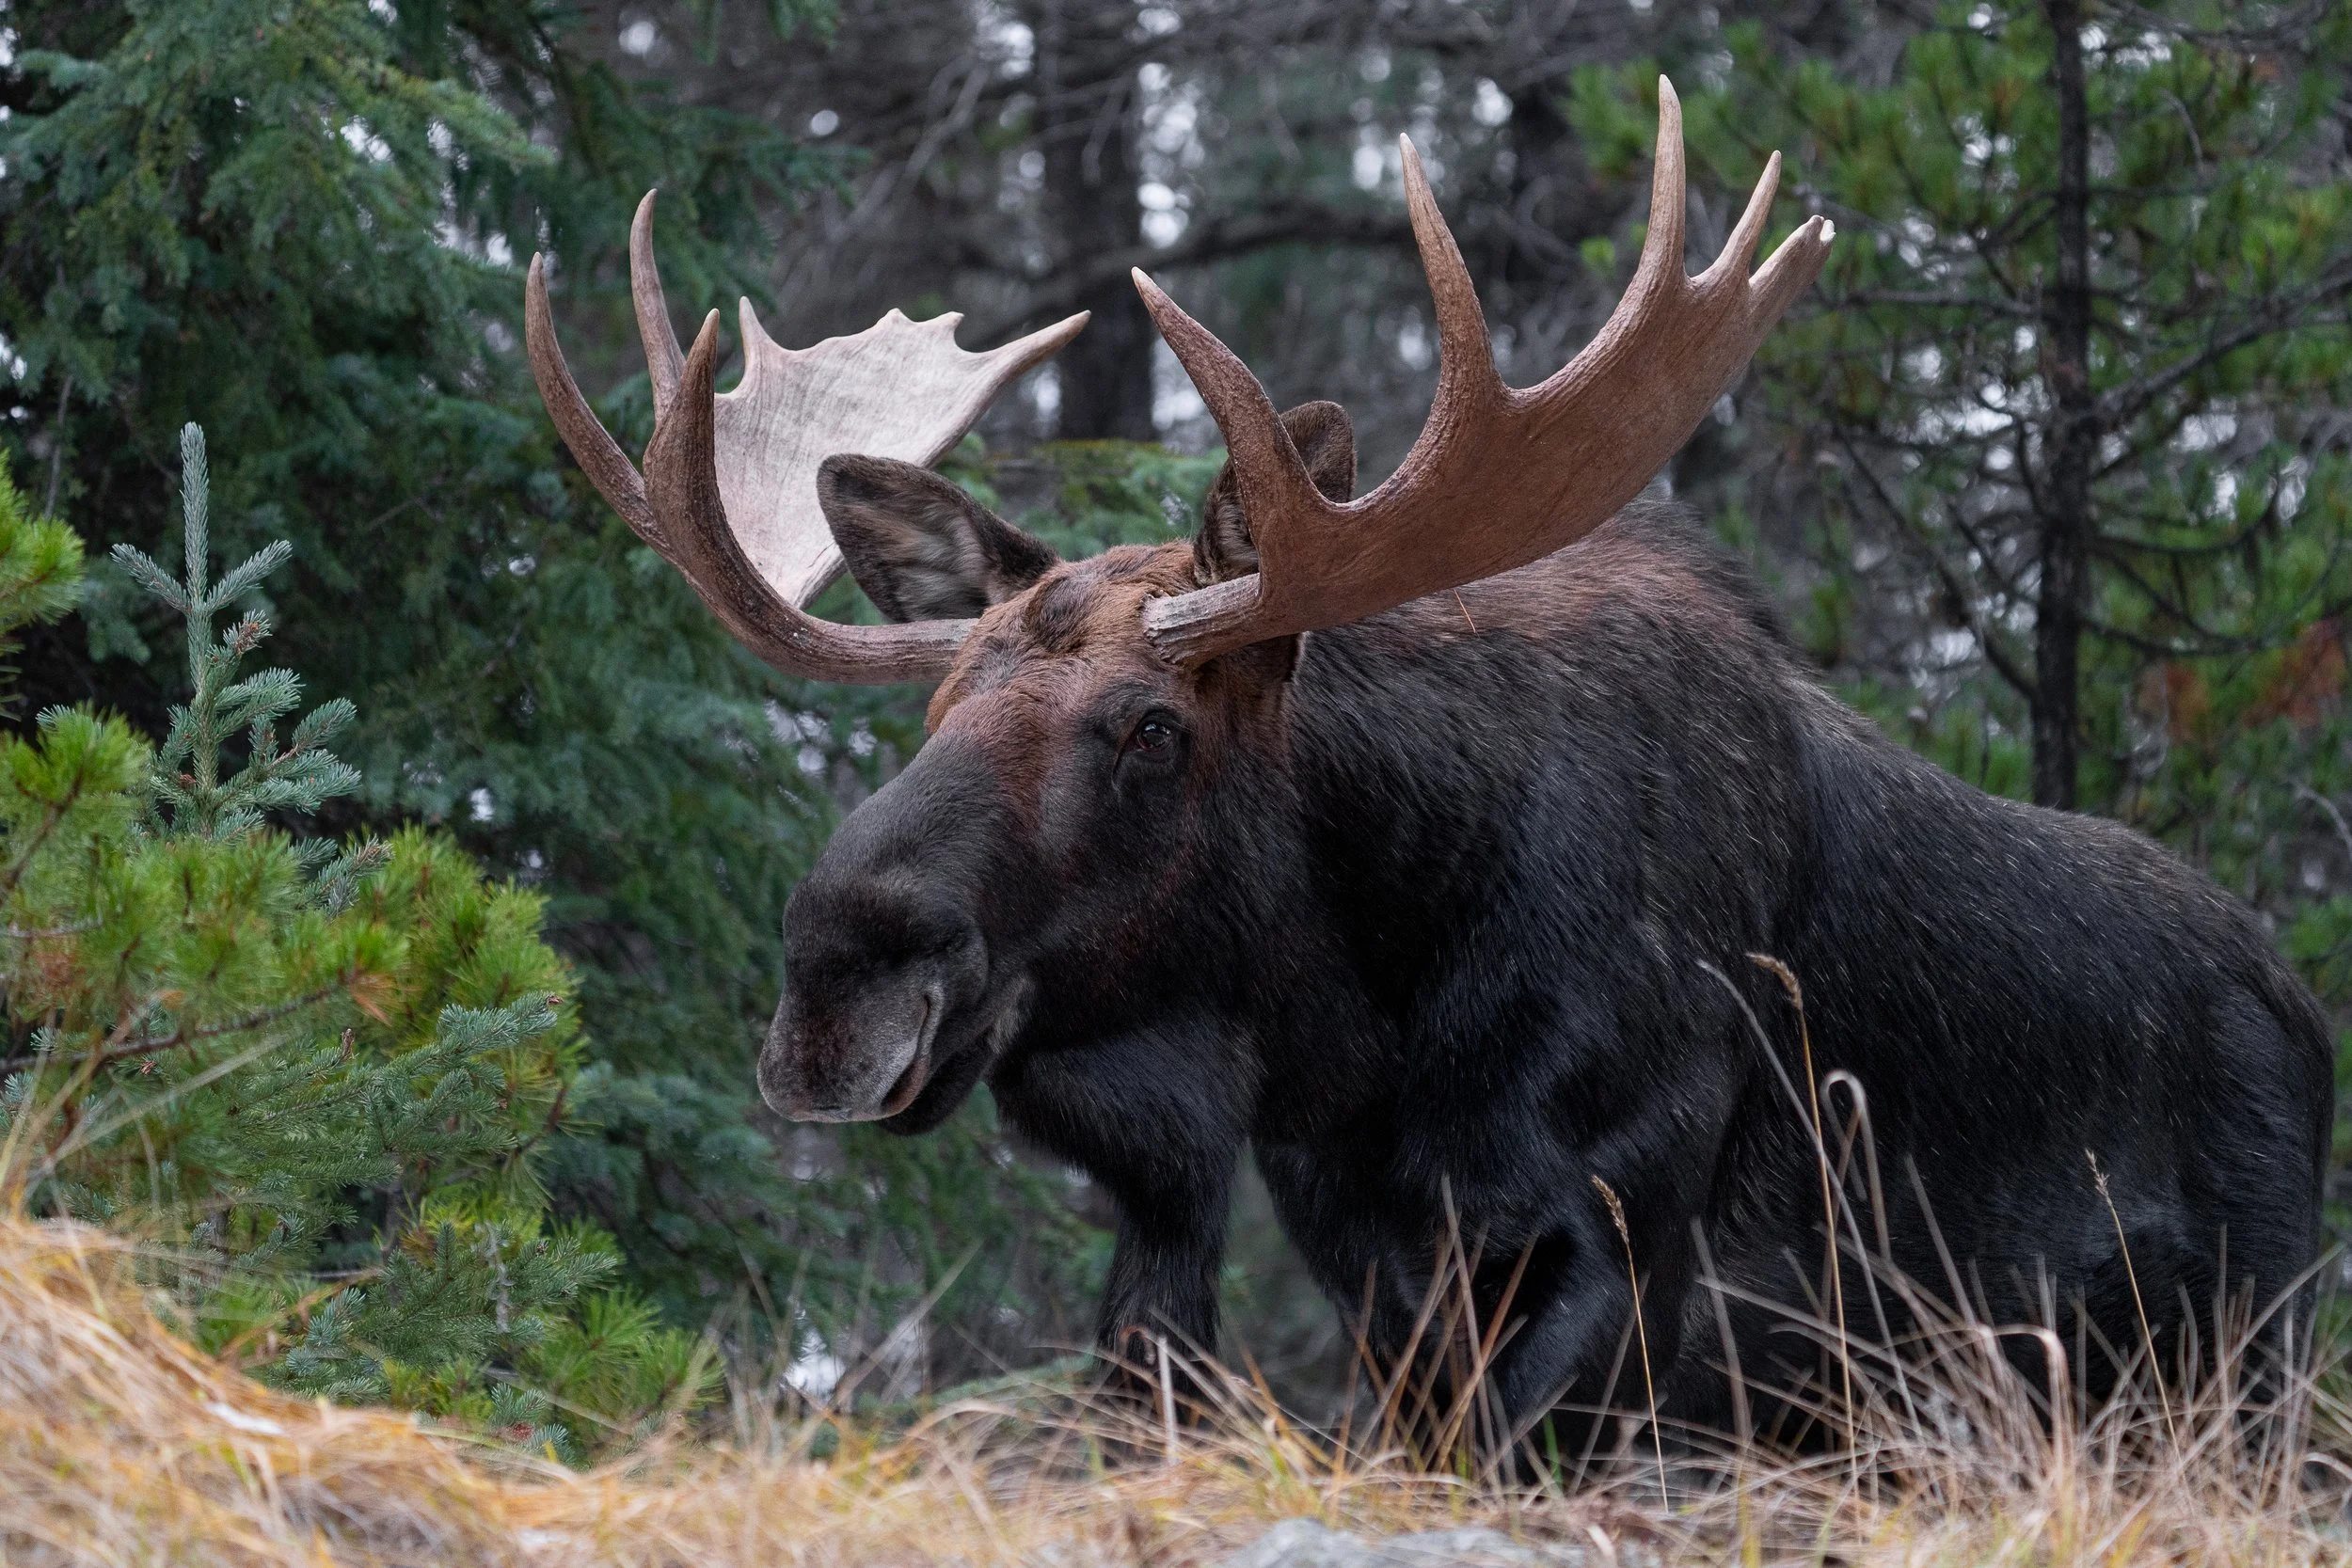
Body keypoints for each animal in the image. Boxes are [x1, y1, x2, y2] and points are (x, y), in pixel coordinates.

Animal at [525, 83, 2330, 1453]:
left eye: (1153, 724)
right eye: (935, 703)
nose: (837, 970)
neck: (1362, 1018)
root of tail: (2306, 1013)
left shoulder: (1620, 1237)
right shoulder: (1370, 1264)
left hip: (2236, 1362)